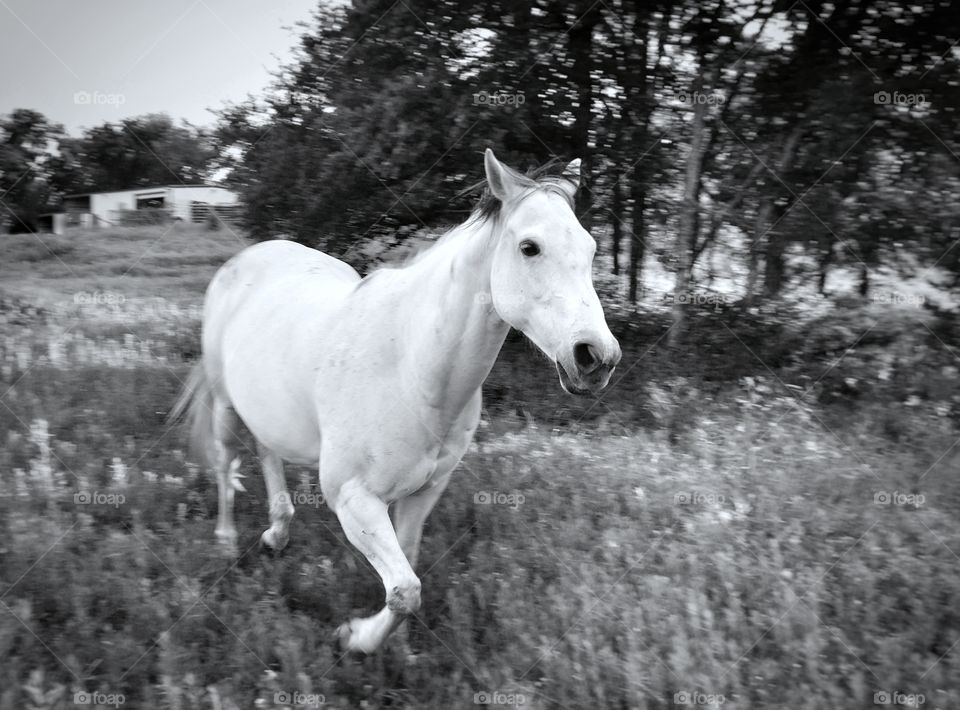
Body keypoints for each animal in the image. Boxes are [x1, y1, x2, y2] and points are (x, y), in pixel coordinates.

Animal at [171, 150, 624, 656]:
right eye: (530, 247)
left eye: (591, 249)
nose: (596, 357)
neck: (411, 368)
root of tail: (248, 257)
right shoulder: (354, 500)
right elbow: (407, 590)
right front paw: (356, 639)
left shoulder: (424, 492)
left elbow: (406, 570)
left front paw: (400, 649)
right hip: (224, 405)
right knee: (226, 462)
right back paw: (227, 542)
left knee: (268, 453)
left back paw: (277, 534)